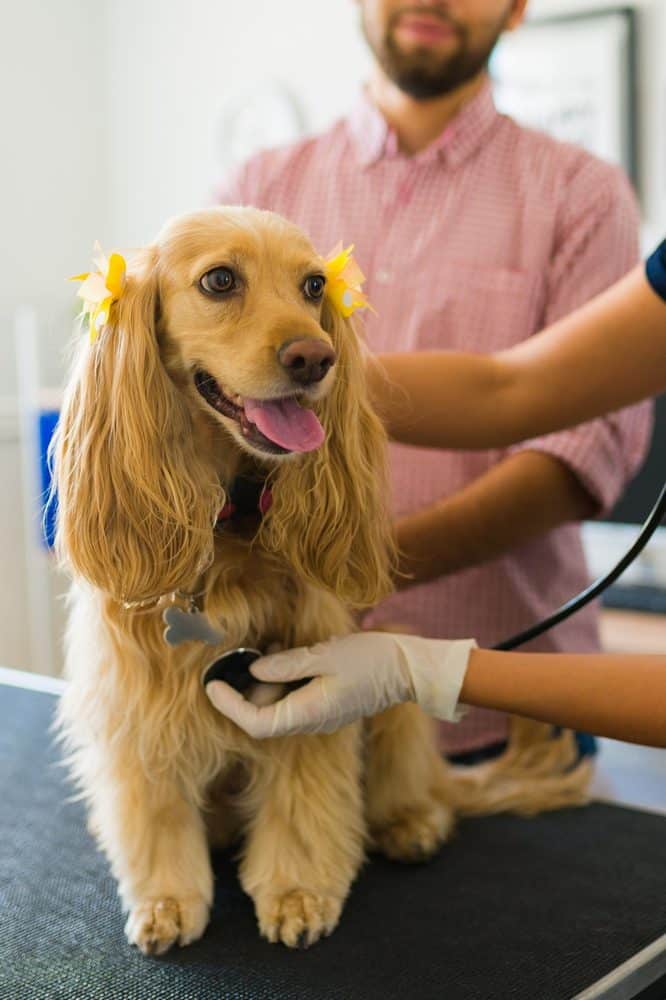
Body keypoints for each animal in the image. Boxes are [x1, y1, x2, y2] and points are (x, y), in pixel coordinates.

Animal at [52, 209, 452, 952]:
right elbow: (154, 810)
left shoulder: (308, 683)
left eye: (314, 284)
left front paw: (296, 892)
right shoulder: (138, 696)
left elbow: (303, 794)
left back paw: (411, 821)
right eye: (219, 280)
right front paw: (166, 898)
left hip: (395, 680)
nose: (315, 358)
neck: (224, 521)